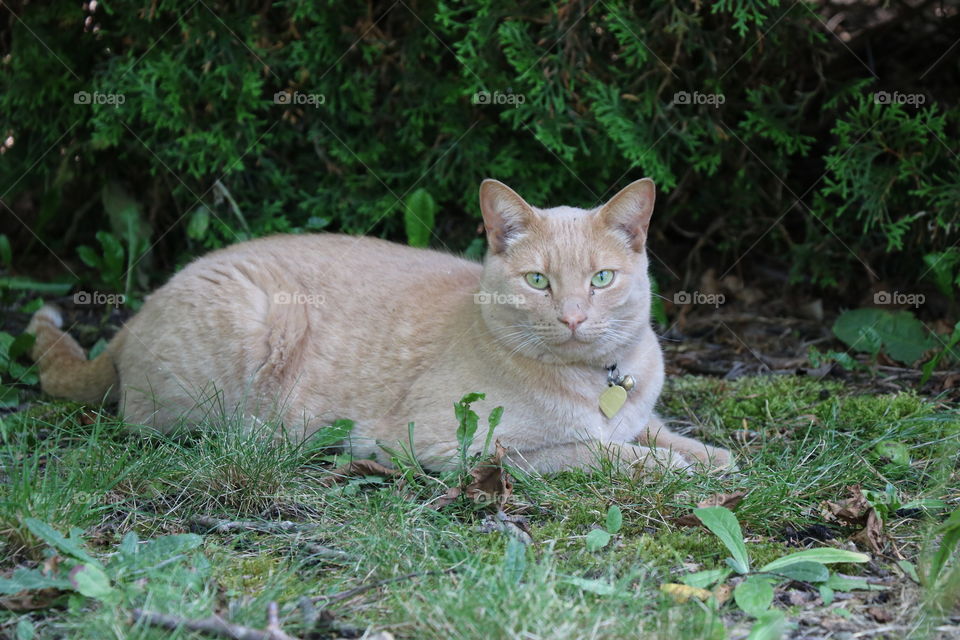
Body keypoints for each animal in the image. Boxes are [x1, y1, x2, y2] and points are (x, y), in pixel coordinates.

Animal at [28, 178, 736, 472]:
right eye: (539, 282)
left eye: (601, 279)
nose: (573, 316)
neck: (597, 380)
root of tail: (137, 314)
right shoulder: (459, 447)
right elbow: (593, 452)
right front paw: (679, 470)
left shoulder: (635, 410)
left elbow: (653, 431)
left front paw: (710, 456)